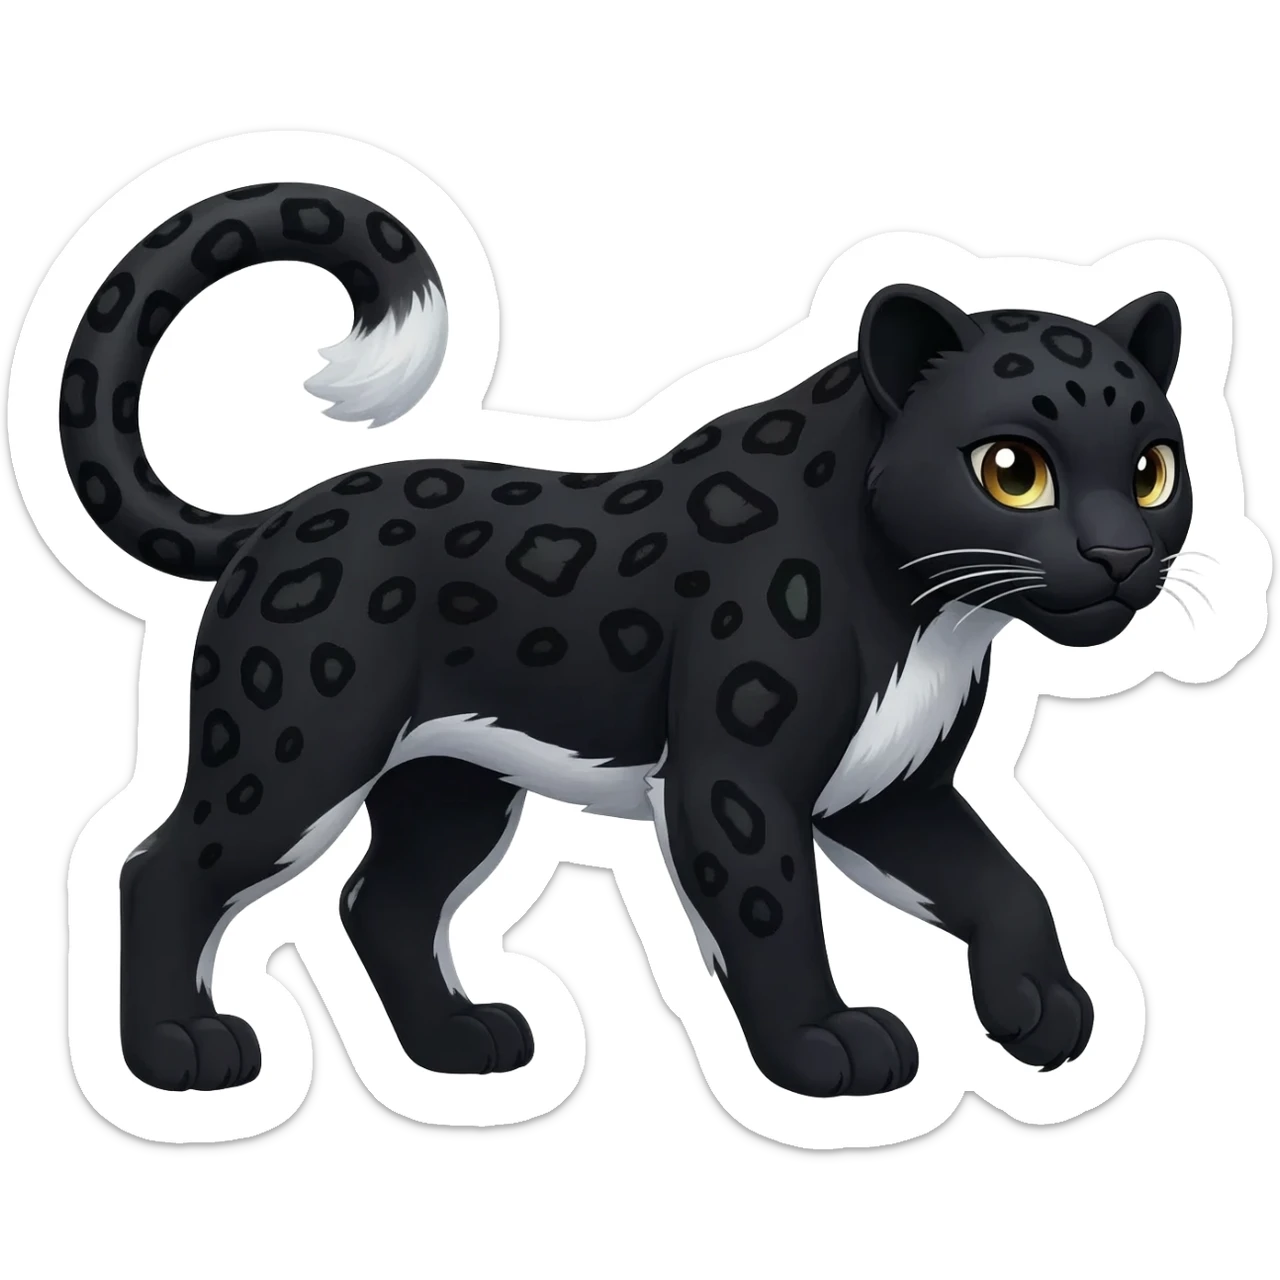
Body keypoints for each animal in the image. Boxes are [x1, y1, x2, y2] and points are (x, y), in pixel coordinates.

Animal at [55, 182, 1190, 1096]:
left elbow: (1006, 880)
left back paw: (462, 1043)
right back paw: (180, 1049)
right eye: (1011, 468)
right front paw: (826, 1045)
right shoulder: (732, 781)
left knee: (382, 900)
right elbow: (774, 913)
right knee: (162, 866)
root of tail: (279, 514)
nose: (1120, 554)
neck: (929, 614)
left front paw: (1042, 1007)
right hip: (296, 754)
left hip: (451, 783)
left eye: (1151, 469)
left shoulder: (891, 787)